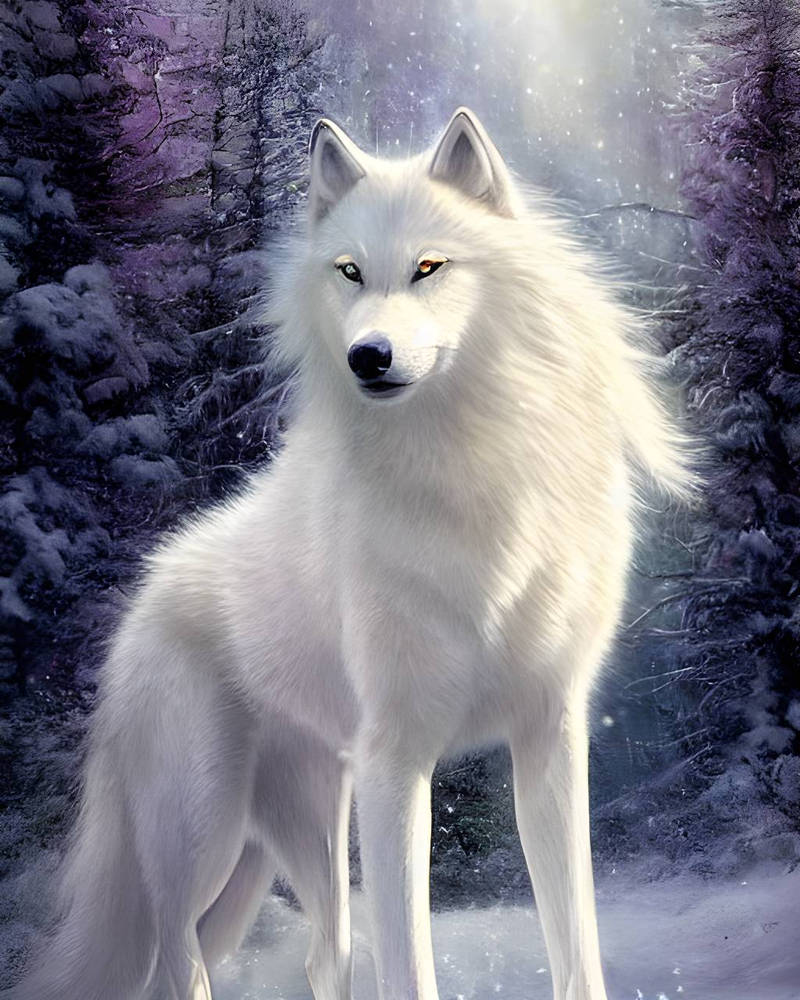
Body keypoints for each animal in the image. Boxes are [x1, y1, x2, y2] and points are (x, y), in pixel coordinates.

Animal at [6, 108, 690, 1000]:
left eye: (429, 267)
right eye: (350, 272)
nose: (370, 356)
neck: (469, 468)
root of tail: (140, 601)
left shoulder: (549, 736)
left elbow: (574, 946)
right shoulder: (395, 762)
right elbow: (407, 962)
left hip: (301, 837)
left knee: (319, 954)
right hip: (205, 838)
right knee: (179, 963)